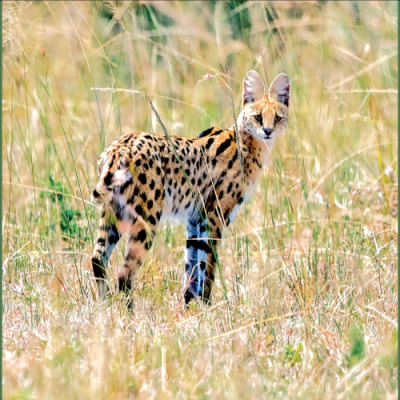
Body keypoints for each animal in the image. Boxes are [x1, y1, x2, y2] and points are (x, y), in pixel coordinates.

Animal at [91, 69, 290, 307]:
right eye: (258, 116)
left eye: (278, 117)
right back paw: (128, 314)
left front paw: (189, 305)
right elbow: (208, 265)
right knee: (124, 274)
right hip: (146, 220)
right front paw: (208, 306)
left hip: (113, 213)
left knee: (98, 259)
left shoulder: (195, 219)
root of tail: (119, 147)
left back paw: (102, 310)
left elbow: (193, 265)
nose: (268, 131)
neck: (248, 143)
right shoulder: (214, 216)